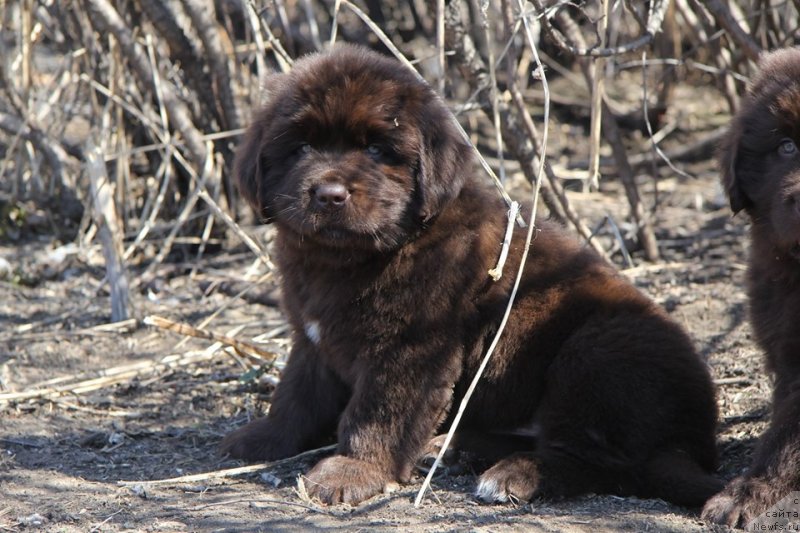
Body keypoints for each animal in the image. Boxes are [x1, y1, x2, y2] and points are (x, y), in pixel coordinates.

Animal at [222, 43, 720, 504]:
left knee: (602, 461)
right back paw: (452, 448)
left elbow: (378, 413)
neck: (350, 258)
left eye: (378, 149)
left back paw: (513, 474)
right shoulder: (312, 339)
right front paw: (263, 438)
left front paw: (352, 471)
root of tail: (692, 439)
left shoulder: (410, 349)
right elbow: (296, 396)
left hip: (596, 352)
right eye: (303, 146)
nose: (329, 194)